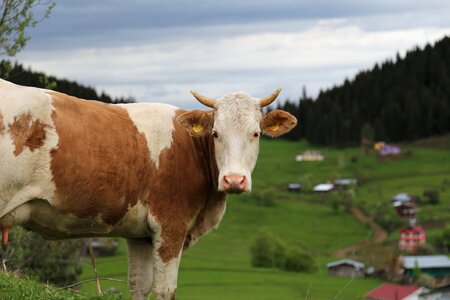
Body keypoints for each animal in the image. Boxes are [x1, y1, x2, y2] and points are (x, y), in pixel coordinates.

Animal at [0, 79, 298, 300]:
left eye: (256, 134)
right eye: (216, 134)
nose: (234, 180)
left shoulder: (140, 234)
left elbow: (139, 285)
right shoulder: (170, 225)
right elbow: (166, 289)